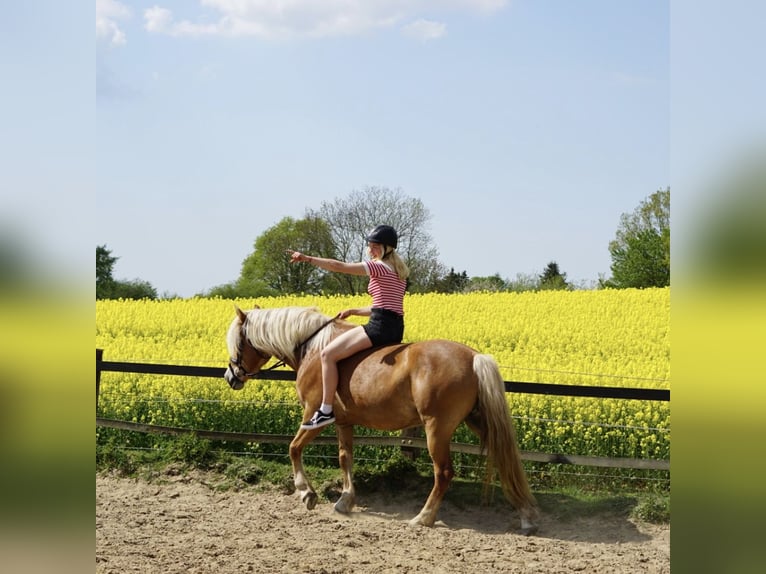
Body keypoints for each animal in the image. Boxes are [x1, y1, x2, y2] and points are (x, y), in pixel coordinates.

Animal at [225, 306, 544, 536]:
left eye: (238, 343)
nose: (231, 377)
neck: (314, 349)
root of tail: (475, 356)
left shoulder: (314, 416)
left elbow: (293, 448)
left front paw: (307, 493)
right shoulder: (344, 423)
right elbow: (345, 458)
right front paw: (345, 501)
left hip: (436, 429)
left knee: (444, 473)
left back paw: (423, 517)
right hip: (478, 421)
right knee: (506, 460)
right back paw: (527, 517)